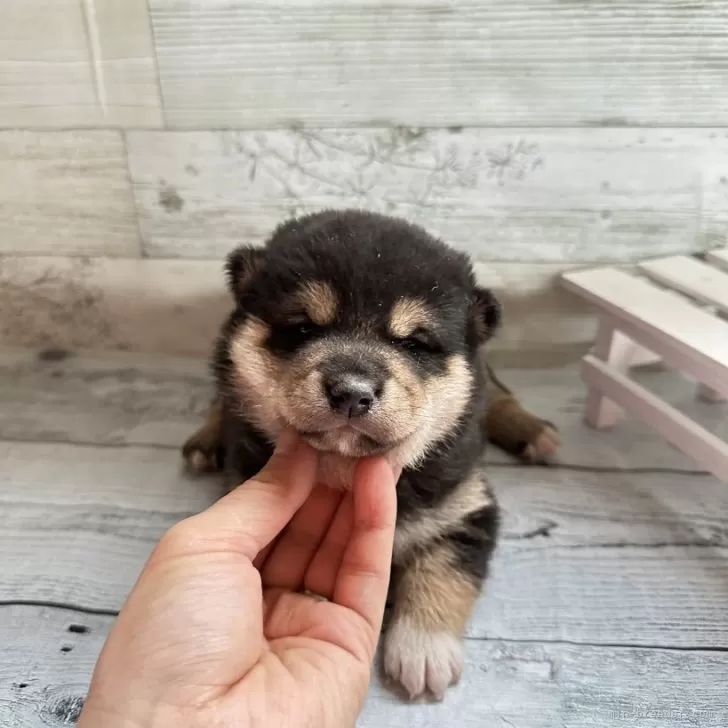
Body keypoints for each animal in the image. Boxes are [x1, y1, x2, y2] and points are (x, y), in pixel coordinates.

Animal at [181, 209, 556, 700]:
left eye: (414, 343)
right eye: (304, 328)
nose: (351, 392)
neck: (342, 469)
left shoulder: (465, 503)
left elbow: (446, 568)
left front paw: (423, 650)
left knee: (501, 397)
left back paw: (535, 433)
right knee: (218, 400)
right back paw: (205, 442)